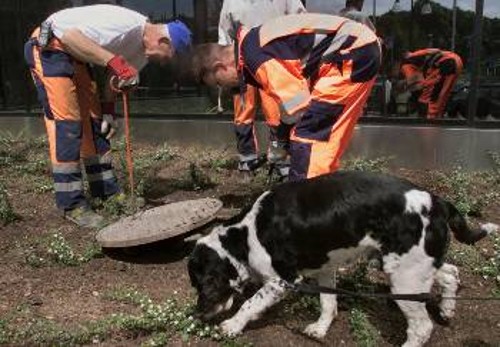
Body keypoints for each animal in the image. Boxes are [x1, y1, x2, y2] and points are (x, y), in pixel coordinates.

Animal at [188, 172, 496, 347]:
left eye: (205, 284)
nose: (198, 314)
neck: (247, 231)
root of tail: (439, 202)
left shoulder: (282, 280)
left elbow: (250, 304)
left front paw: (231, 326)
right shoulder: (325, 270)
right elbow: (328, 304)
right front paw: (320, 329)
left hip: (404, 280)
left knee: (421, 328)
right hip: (414, 265)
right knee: (451, 274)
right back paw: (447, 310)